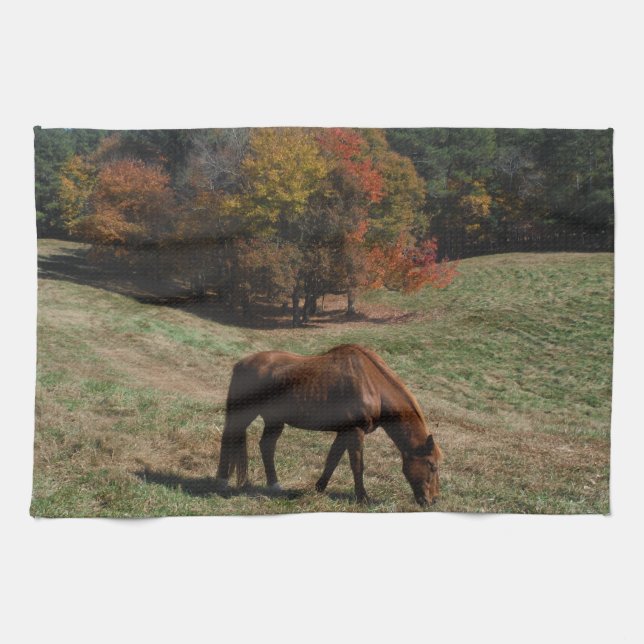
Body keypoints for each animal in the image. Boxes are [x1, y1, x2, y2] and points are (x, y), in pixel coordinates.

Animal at [215, 344, 442, 506]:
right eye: (432, 465)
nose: (432, 501)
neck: (372, 384)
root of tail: (241, 364)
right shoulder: (355, 431)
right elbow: (357, 465)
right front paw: (362, 498)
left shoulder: (344, 432)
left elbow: (332, 460)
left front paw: (319, 488)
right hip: (243, 413)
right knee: (229, 439)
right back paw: (222, 482)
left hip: (274, 420)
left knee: (267, 446)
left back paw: (274, 485)